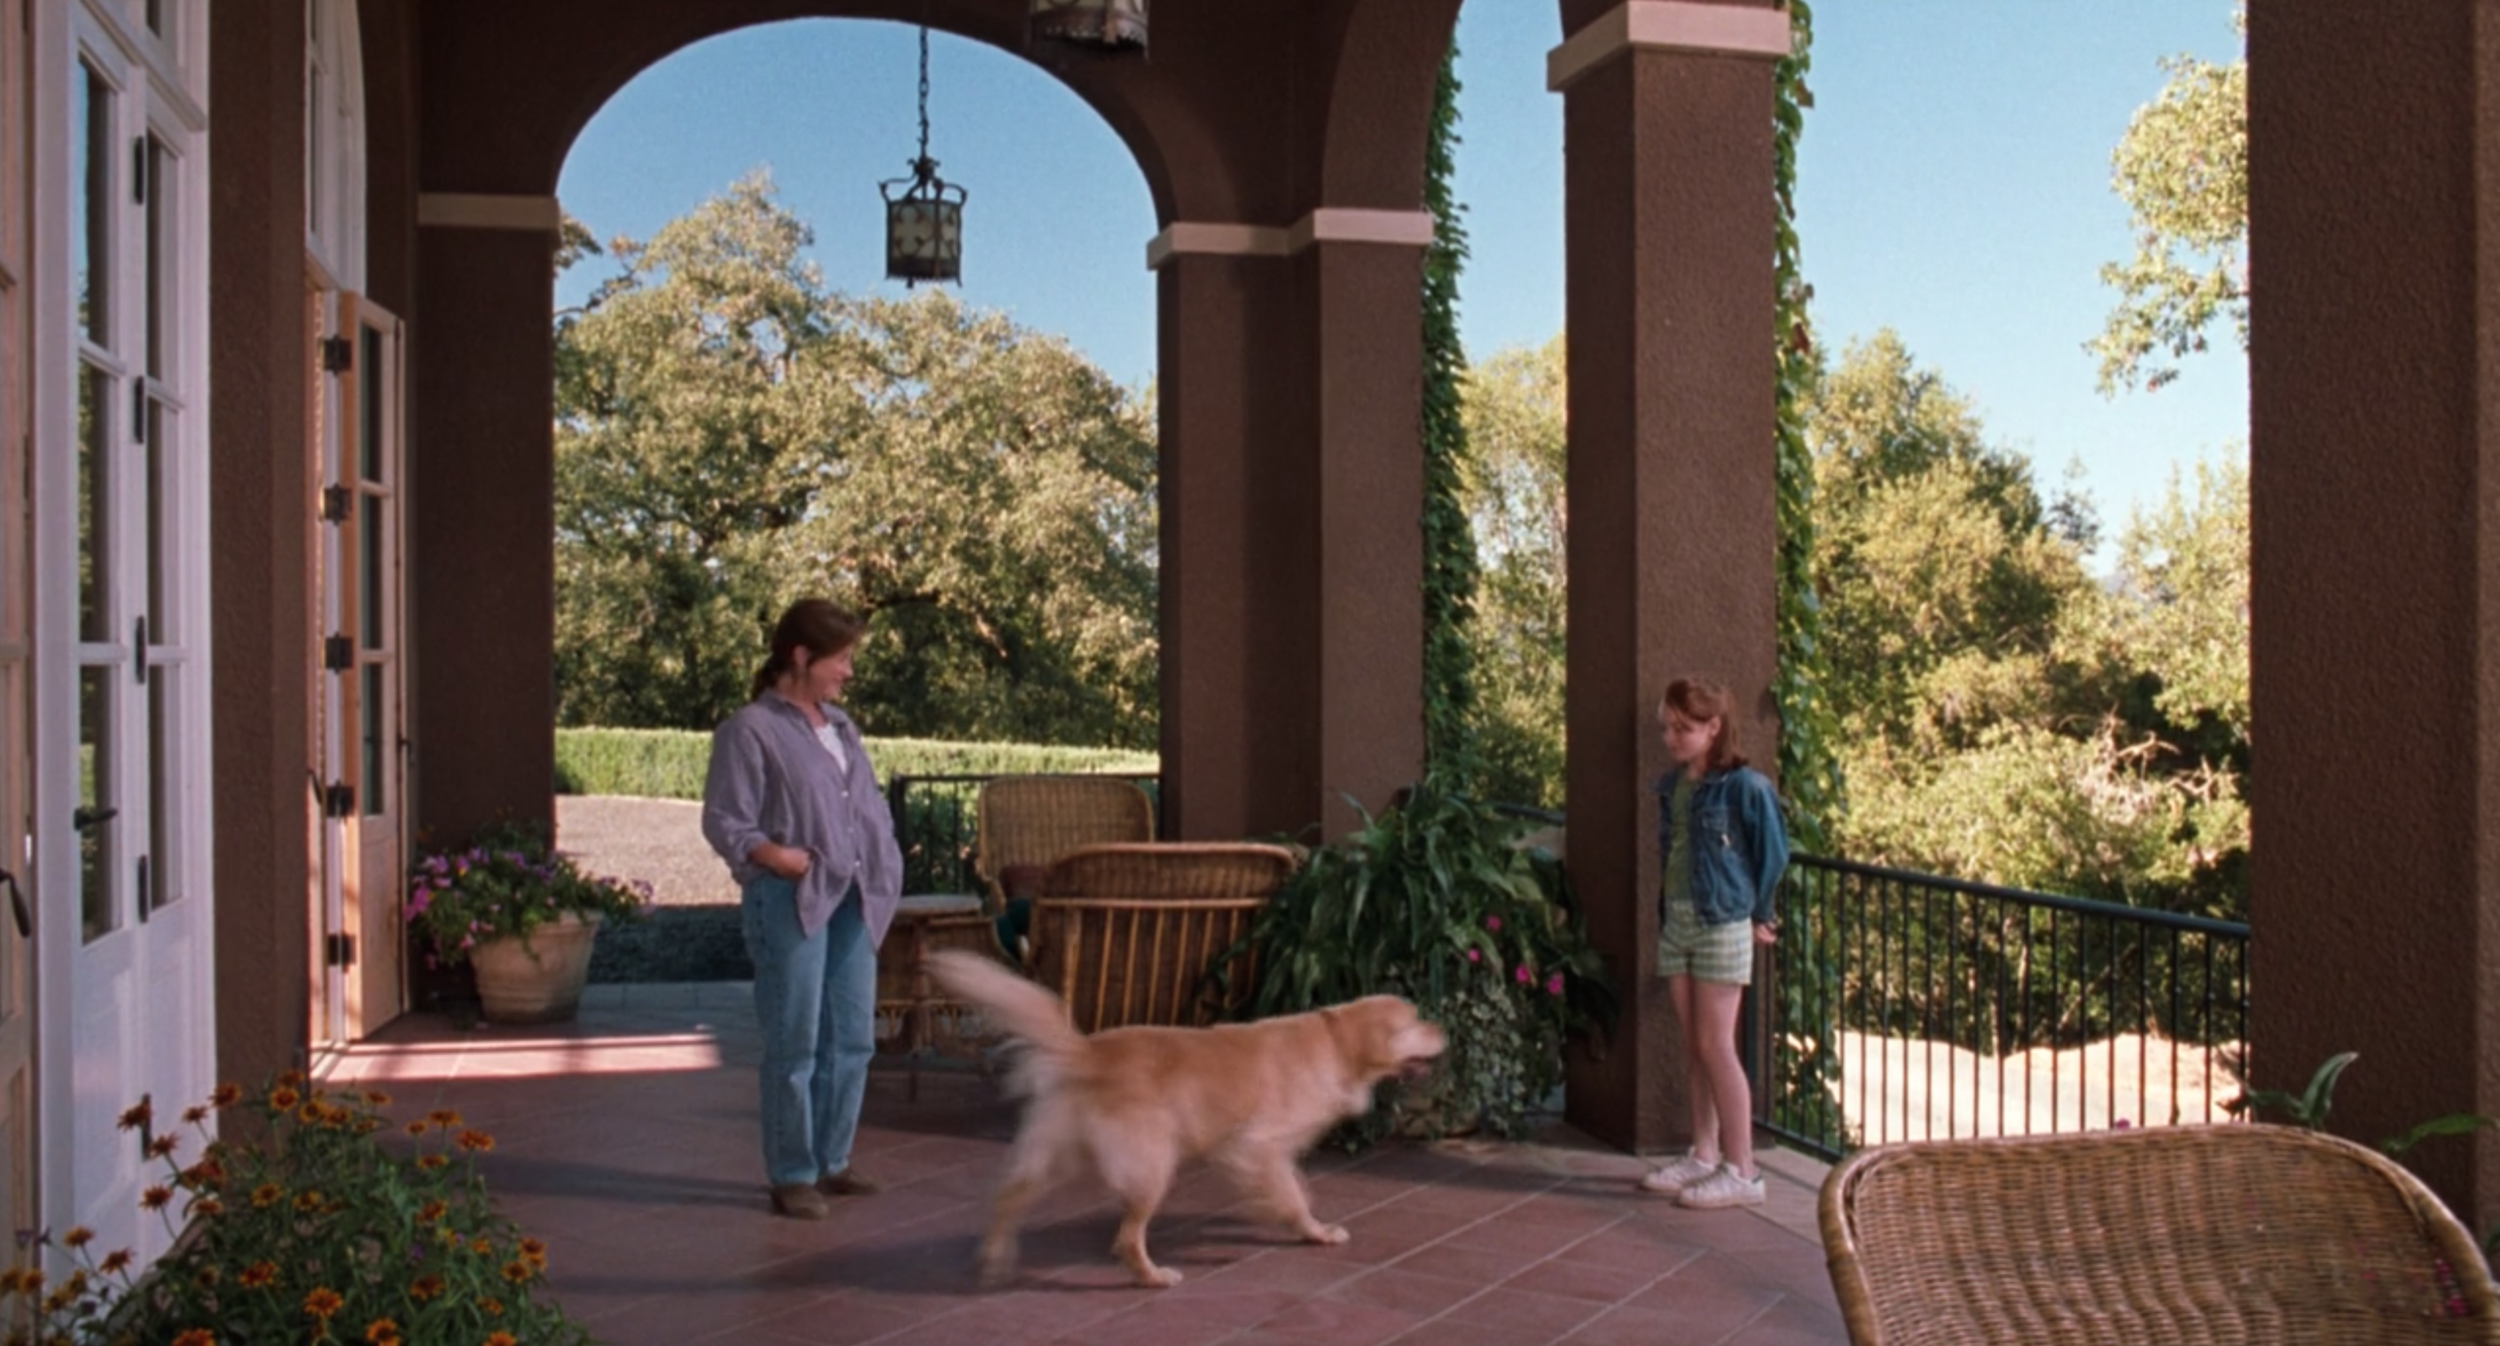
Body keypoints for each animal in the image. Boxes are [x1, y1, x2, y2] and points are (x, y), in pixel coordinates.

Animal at [925, 948, 1448, 1289]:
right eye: (1414, 1023)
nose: (1443, 1028)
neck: (1335, 1043)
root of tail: (1088, 1053)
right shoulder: (1256, 1146)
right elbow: (1295, 1195)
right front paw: (1310, 1230)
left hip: (1060, 1153)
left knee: (1011, 1196)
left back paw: (993, 1261)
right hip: (1152, 1164)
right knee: (1127, 1238)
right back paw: (1153, 1276)